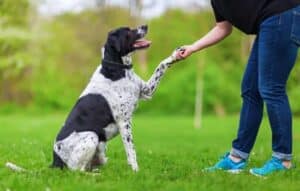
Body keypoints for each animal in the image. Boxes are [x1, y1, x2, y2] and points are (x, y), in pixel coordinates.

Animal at [50, 24, 179, 172]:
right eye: (127, 31)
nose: (145, 25)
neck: (118, 68)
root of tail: (55, 160)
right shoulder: (124, 122)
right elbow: (131, 151)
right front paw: (136, 171)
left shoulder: (147, 90)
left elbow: (161, 66)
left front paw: (175, 55)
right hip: (92, 136)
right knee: (77, 170)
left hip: (100, 148)